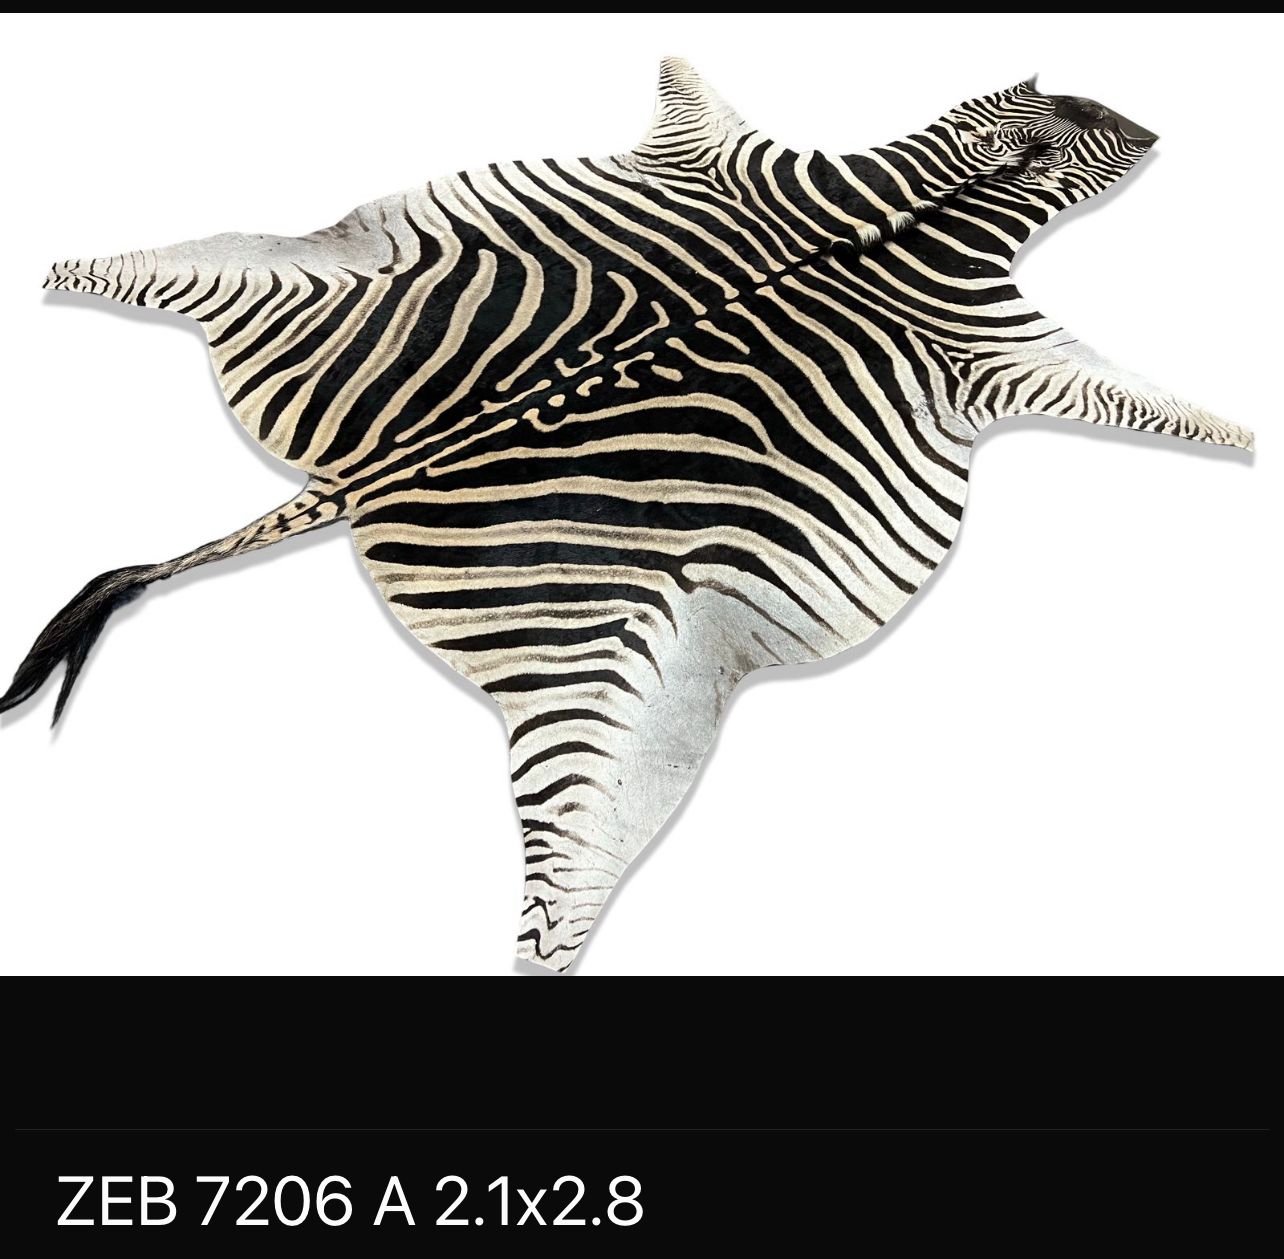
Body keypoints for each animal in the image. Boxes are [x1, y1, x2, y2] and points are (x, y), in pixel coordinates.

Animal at [3, 59, 1253, 970]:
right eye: (1091, 110)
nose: (1148, 122)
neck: (938, 205)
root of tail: (368, 476)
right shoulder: (998, 341)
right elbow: (1145, 397)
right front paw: (1239, 433)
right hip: (615, 657)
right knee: (575, 860)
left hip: (326, 297)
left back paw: (62, 269)